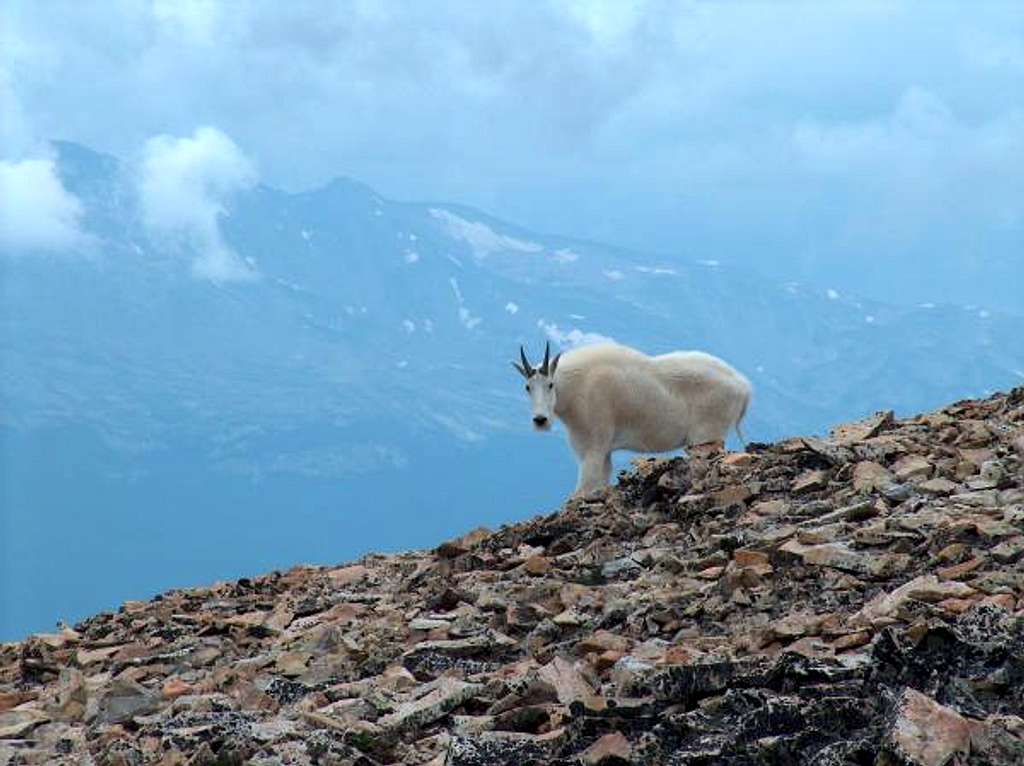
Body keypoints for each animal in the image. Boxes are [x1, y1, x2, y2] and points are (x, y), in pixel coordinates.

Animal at [512, 342, 753, 497]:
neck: (576, 388)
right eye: (527, 387)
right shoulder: (604, 452)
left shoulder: (593, 447)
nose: (540, 420)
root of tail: (744, 388)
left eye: (550, 384)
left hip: (707, 435)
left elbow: (582, 491)